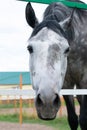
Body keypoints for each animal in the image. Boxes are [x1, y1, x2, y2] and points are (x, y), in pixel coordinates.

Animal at [25, 0, 87, 129]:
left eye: (67, 49)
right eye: (29, 48)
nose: (47, 101)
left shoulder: (85, 81)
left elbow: (84, 120)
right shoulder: (66, 84)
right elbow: (73, 119)